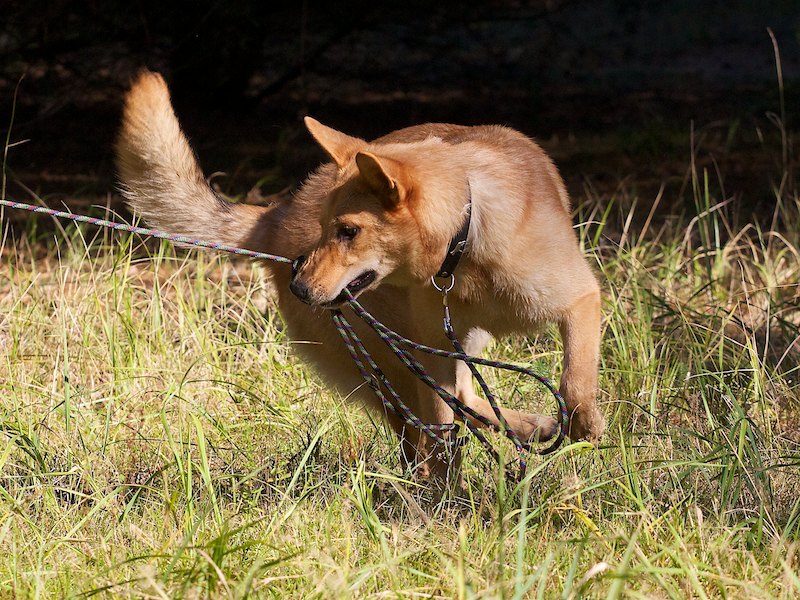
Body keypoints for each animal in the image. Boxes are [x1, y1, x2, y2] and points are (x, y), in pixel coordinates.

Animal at [115, 70, 605, 482]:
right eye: (327, 229)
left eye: (349, 231)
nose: (299, 286)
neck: (463, 242)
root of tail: (277, 216)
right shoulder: (434, 352)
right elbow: (444, 422)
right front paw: (448, 498)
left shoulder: (580, 300)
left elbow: (576, 380)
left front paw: (585, 424)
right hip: (394, 359)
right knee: (442, 410)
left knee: (459, 403)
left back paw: (528, 429)